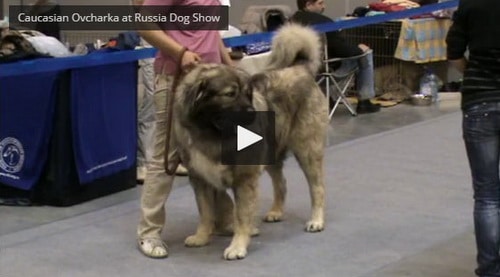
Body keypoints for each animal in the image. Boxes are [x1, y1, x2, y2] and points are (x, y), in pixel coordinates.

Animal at [172, 23, 328, 258]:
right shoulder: (200, 179)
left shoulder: (244, 178)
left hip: (307, 149)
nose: (253, 112)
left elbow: (241, 215)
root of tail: (300, 69)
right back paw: (276, 211)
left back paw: (316, 220)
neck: (211, 133)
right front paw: (201, 237)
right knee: (281, 183)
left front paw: (237, 246)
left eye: (248, 94)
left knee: (317, 187)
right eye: (230, 94)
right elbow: (205, 212)